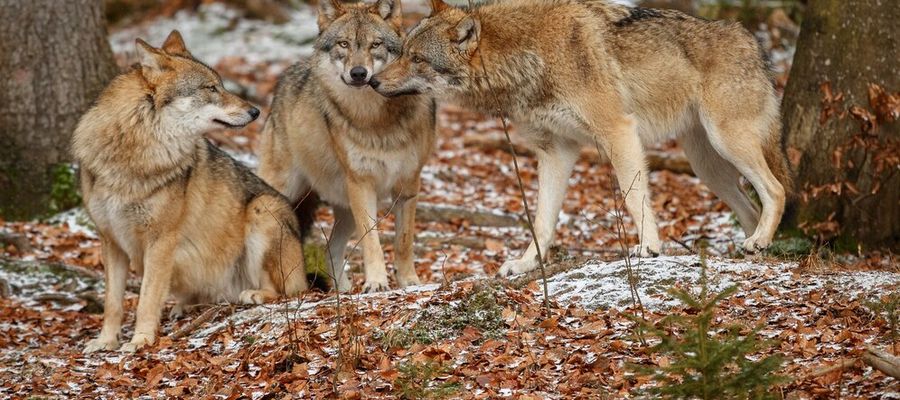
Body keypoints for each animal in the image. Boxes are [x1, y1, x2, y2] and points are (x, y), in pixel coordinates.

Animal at [72, 31, 310, 354]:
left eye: (221, 84)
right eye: (211, 88)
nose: (256, 111)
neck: (135, 153)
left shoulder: (161, 240)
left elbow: (146, 300)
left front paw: (140, 341)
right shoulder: (110, 241)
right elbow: (113, 303)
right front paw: (105, 341)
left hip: (263, 209)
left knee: (287, 290)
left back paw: (254, 294)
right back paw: (184, 306)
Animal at [256, 0, 436, 292]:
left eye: (375, 45)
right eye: (343, 44)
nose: (359, 73)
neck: (375, 120)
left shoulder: (409, 184)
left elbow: (404, 242)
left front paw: (410, 281)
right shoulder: (361, 183)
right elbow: (372, 241)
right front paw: (376, 283)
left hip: (345, 208)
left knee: (331, 248)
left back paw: (343, 291)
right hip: (283, 193)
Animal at [370, 0, 792, 276]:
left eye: (416, 59)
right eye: (401, 51)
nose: (372, 81)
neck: (529, 56)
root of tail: (754, 43)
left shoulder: (618, 131)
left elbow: (633, 198)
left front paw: (649, 247)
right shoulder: (556, 151)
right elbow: (541, 221)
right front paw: (526, 264)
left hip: (727, 143)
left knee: (776, 190)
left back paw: (758, 241)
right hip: (707, 167)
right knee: (751, 208)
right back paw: (752, 250)